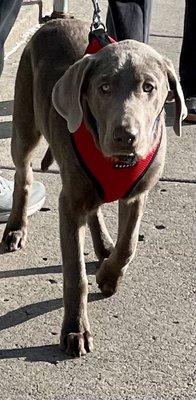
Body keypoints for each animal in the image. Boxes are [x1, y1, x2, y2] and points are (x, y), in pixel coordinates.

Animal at [2, 18, 186, 356]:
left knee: (95, 207)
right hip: (24, 125)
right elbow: (75, 274)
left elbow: (129, 245)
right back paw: (16, 228)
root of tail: (56, 20)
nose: (125, 136)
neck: (117, 163)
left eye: (149, 87)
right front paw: (75, 330)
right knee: (24, 175)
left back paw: (103, 246)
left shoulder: (137, 195)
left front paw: (109, 277)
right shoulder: (69, 205)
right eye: (104, 88)